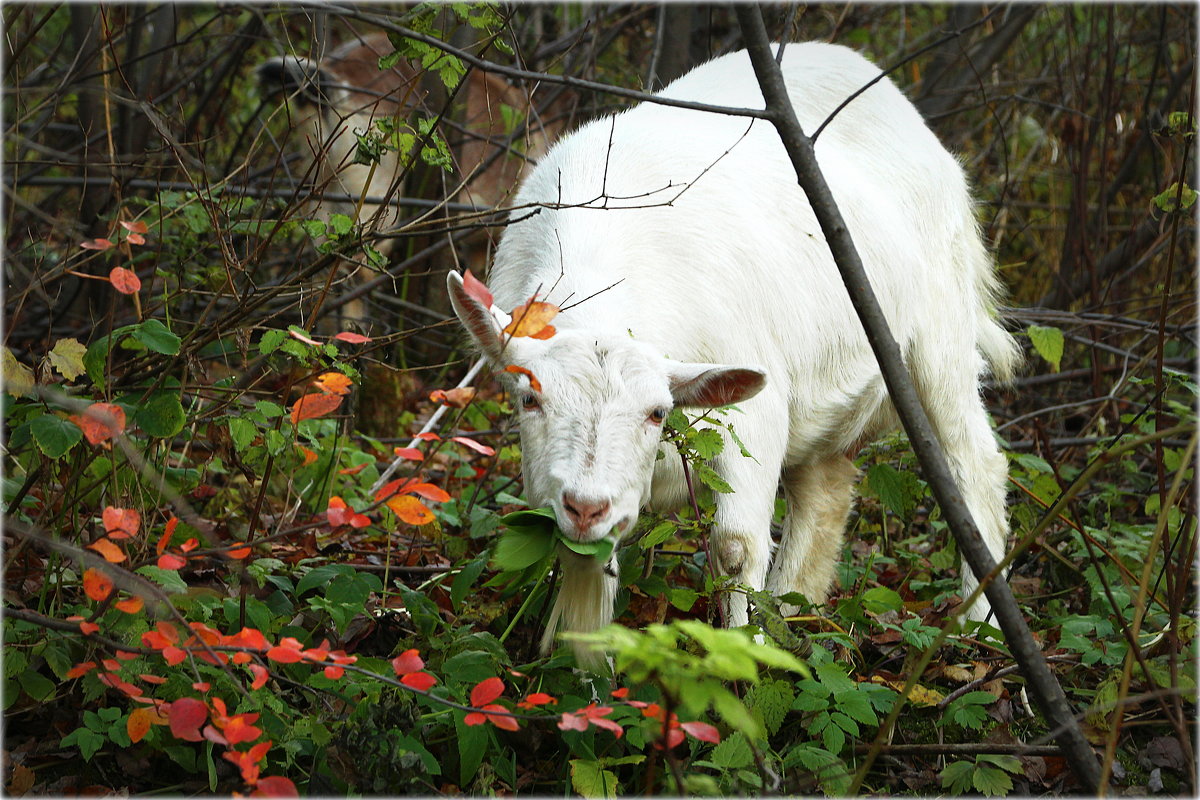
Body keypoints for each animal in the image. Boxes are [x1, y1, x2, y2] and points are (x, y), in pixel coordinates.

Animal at [446, 42, 1017, 657]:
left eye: (658, 413)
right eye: (529, 400)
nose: (586, 504)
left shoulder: (755, 410)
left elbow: (735, 547)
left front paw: (741, 656)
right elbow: (582, 556)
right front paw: (574, 658)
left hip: (940, 329)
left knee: (974, 463)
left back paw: (978, 624)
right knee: (825, 491)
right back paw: (795, 612)